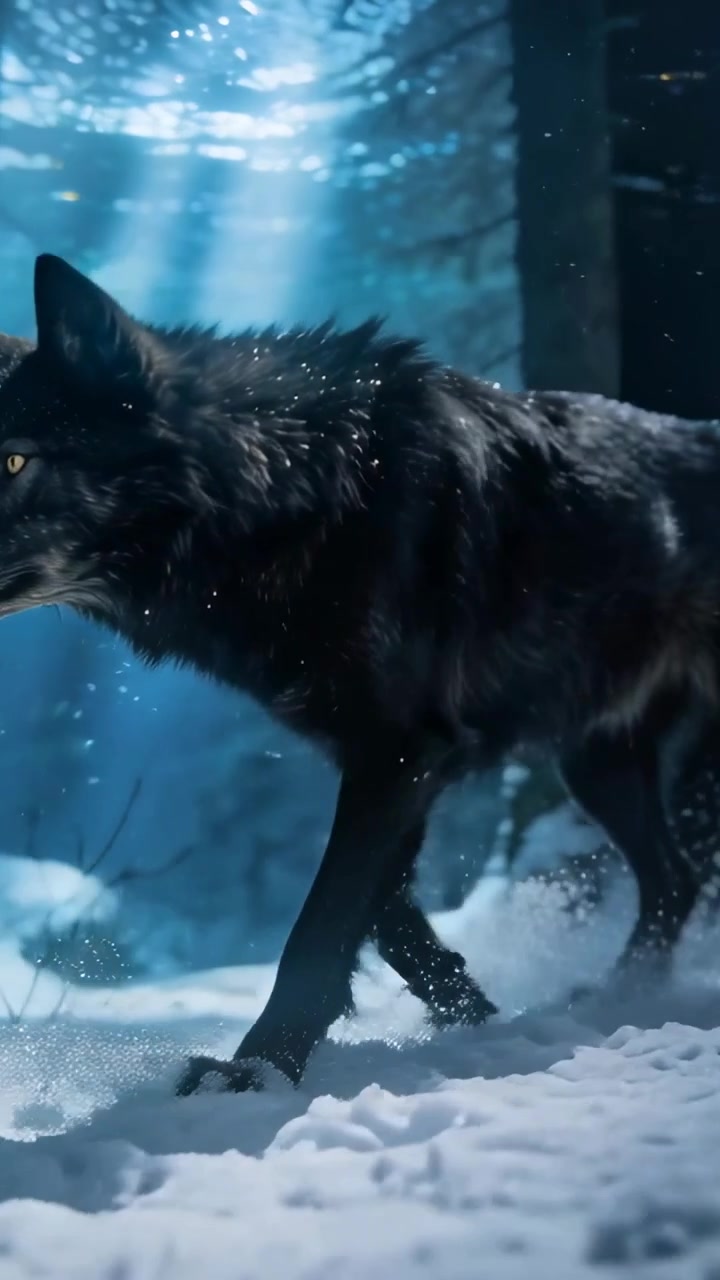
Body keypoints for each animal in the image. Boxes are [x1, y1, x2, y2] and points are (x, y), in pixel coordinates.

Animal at [0, 253, 717, 1094]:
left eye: (13, 459)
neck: (289, 490)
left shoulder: (400, 752)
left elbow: (322, 923)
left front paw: (258, 1070)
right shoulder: (396, 761)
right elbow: (386, 916)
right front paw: (472, 1012)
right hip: (595, 762)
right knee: (674, 879)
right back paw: (613, 994)